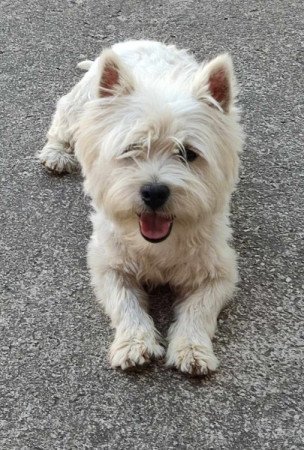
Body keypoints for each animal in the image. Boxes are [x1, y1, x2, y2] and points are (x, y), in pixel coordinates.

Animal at [38, 40, 242, 374]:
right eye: (132, 148)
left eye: (189, 153)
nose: (154, 192)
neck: (158, 244)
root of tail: (142, 41)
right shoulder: (109, 264)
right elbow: (125, 302)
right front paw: (135, 344)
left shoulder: (218, 270)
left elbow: (200, 309)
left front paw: (192, 349)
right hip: (81, 106)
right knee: (63, 119)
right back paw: (56, 154)